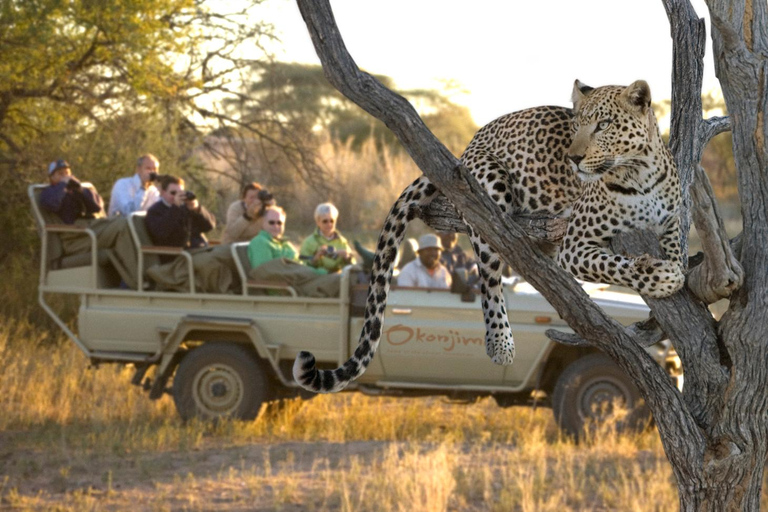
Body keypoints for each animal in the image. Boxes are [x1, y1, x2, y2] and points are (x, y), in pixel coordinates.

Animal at [292, 79, 684, 392]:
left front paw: (675, 275)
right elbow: (619, 265)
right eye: (576, 127)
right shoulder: (575, 245)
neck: (639, 174)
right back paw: (500, 342)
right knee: (491, 268)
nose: (573, 158)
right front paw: (664, 277)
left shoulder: (674, 225)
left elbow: (676, 254)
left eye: (604, 125)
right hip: (487, 190)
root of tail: (466, 145)